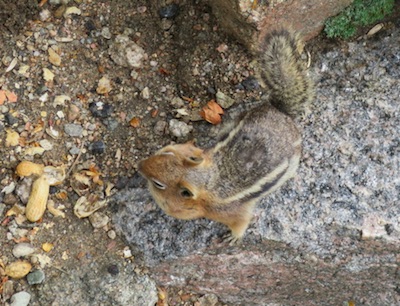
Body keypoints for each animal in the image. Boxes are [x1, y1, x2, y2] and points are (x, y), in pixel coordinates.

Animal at [139, 29, 314, 244]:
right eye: (166, 152)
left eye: (158, 184)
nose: (139, 166)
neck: (208, 180)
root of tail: (279, 111)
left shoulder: (233, 212)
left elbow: (242, 222)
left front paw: (233, 238)